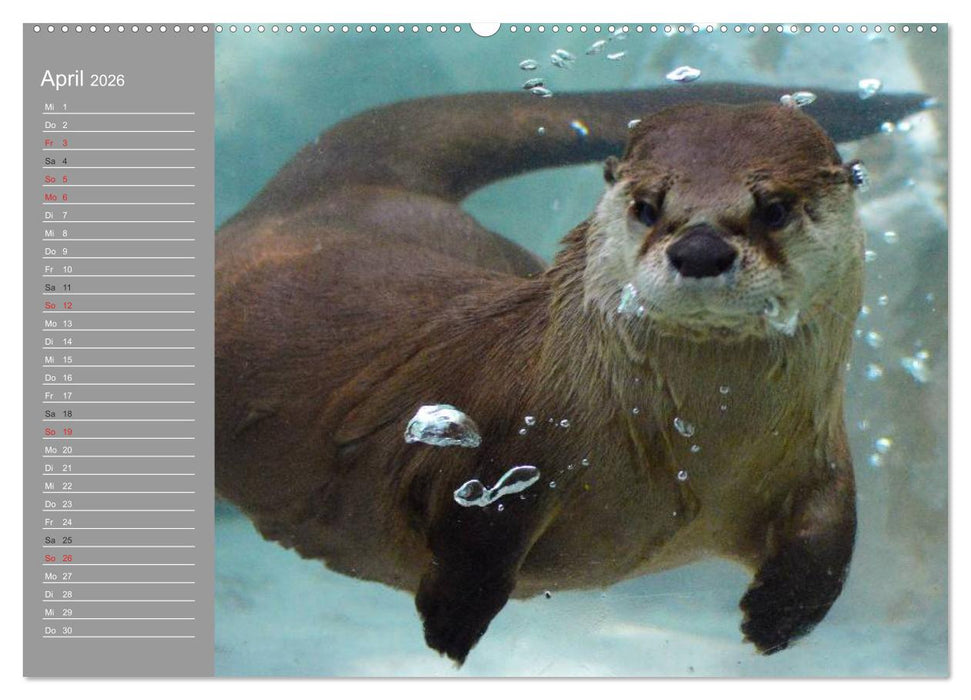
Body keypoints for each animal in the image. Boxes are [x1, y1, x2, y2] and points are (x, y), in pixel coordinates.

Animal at [215, 85, 928, 664]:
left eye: (774, 208)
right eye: (647, 206)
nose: (699, 249)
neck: (696, 452)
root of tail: (326, 196)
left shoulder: (817, 454)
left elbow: (832, 536)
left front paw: (778, 618)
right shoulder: (501, 441)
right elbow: (475, 532)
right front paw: (452, 621)